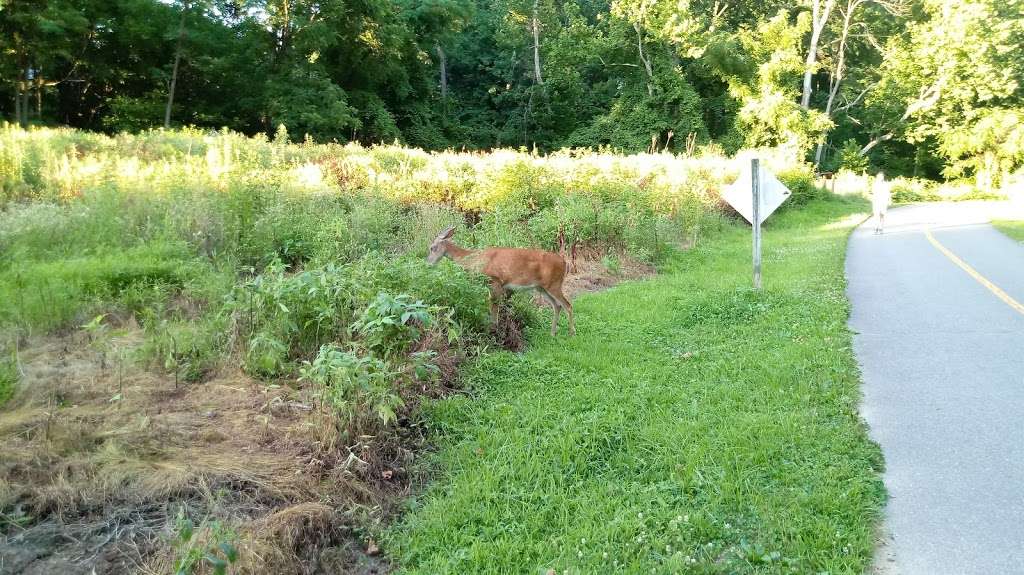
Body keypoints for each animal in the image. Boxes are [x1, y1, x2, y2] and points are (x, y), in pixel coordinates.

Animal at [425, 225, 577, 335]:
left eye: (432, 248)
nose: (428, 263)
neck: (475, 259)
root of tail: (565, 263)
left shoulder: (495, 280)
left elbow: (494, 307)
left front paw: (494, 330)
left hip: (554, 284)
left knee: (568, 305)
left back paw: (571, 333)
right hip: (542, 287)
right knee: (557, 305)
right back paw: (552, 333)